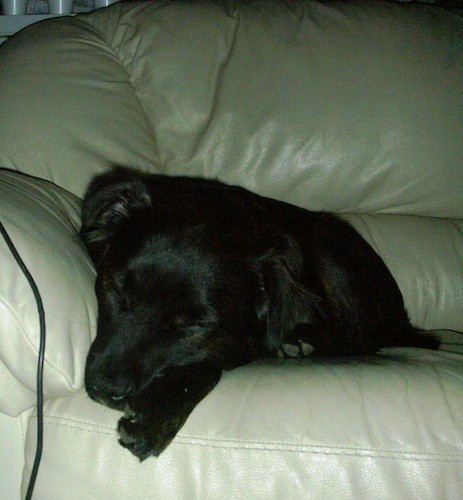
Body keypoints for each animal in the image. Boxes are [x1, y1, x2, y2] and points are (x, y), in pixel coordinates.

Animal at [80, 168, 438, 460]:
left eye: (195, 325)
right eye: (116, 289)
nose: (105, 388)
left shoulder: (240, 344)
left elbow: (204, 366)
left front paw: (155, 415)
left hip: (331, 254)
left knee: (363, 335)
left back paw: (305, 341)